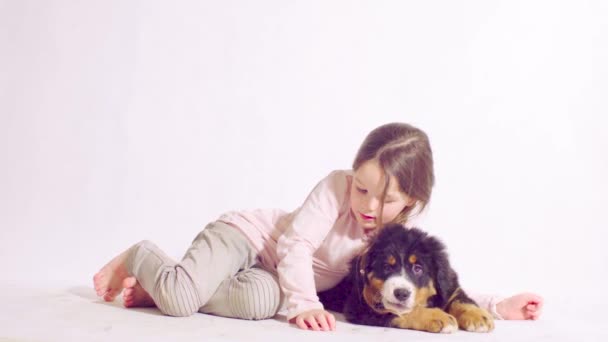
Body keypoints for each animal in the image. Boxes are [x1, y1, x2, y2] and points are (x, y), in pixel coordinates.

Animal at [318, 223, 494, 332]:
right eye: (387, 267)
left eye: (418, 268)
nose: (401, 293)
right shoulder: (359, 305)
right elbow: (400, 312)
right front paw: (439, 317)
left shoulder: (449, 287)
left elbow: (461, 299)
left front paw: (479, 317)